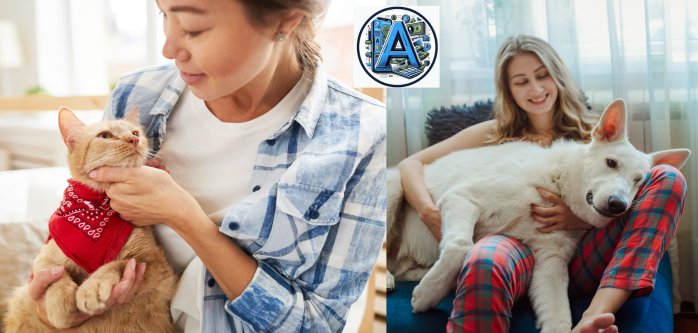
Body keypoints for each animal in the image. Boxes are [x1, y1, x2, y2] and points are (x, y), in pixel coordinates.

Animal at [4, 107, 177, 330]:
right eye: (105, 136)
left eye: (135, 132)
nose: (134, 140)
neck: (97, 207)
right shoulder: (44, 259)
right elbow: (55, 275)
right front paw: (60, 304)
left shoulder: (156, 266)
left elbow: (118, 264)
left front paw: (93, 287)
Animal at [388, 99, 688, 332]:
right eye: (611, 163)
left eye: (638, 180)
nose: (618, 205)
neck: (556, 185)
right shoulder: (461, 198)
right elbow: (460, 245)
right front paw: (428, 294)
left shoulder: (550, 265)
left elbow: (559, 319)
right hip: (395, 188)